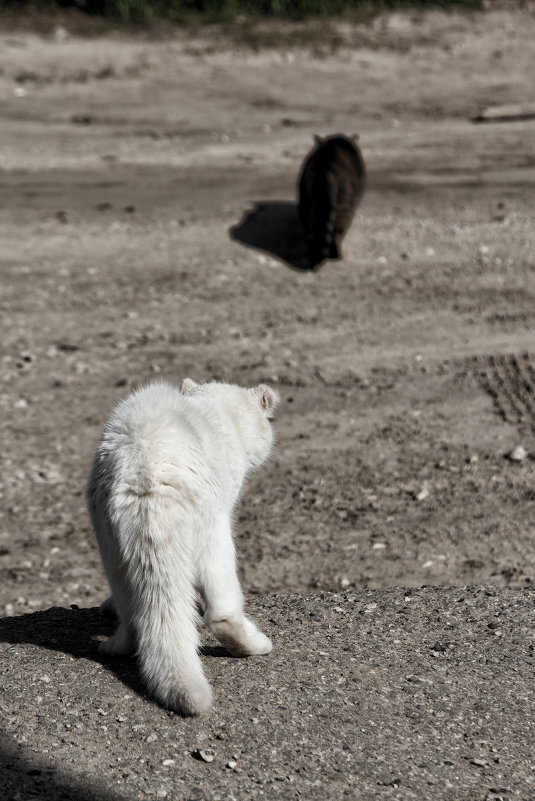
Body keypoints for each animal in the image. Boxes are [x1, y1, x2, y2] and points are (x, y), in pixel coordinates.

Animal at [86, 378, 278, 716]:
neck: (218, 410)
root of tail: (145, 471)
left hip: (105, 528)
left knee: (131, 606)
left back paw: (115, 645)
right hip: (210, 518)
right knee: (221, 602)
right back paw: (253, 645)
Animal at [300, 133, 366, 268]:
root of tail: (326, 167)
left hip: (306, 202)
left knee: (311, 229)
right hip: (344, 206)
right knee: (337, 231)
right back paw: (336, 255)